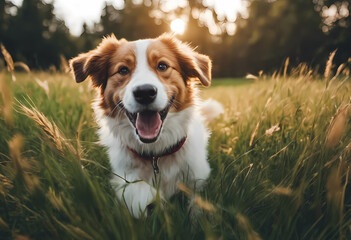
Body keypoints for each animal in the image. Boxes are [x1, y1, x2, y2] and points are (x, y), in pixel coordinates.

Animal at [69, 34, 223, 218]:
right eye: (123, 70)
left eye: (162, 66)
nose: (144, 92)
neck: (155, 154)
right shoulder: (123, 176)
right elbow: (139, 190)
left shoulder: (198, 176)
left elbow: (199, 206)